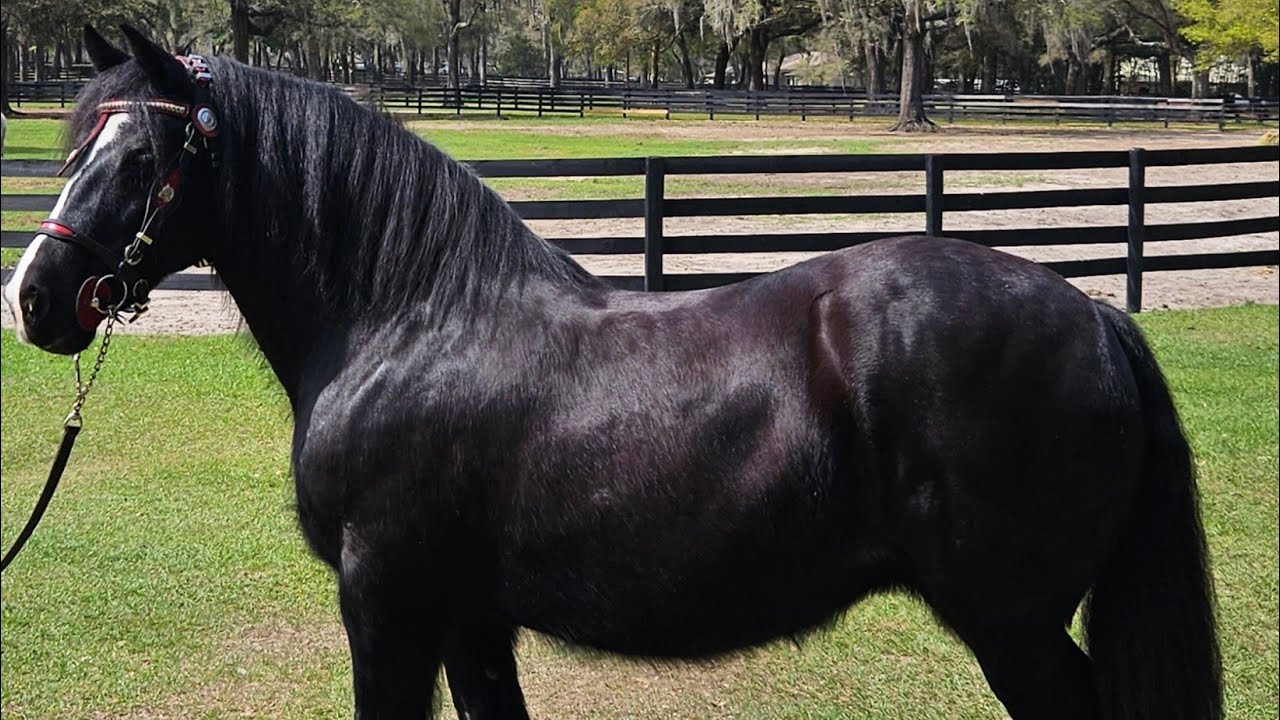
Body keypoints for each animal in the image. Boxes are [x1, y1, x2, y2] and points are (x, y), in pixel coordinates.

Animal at [3, 25, 1222, 720]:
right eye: (80, 147)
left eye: (144, 157)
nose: (33, 299)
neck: (410, 321)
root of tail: (1095, 318)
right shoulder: (468, 620)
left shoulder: (388, 604)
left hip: (1012, 626)